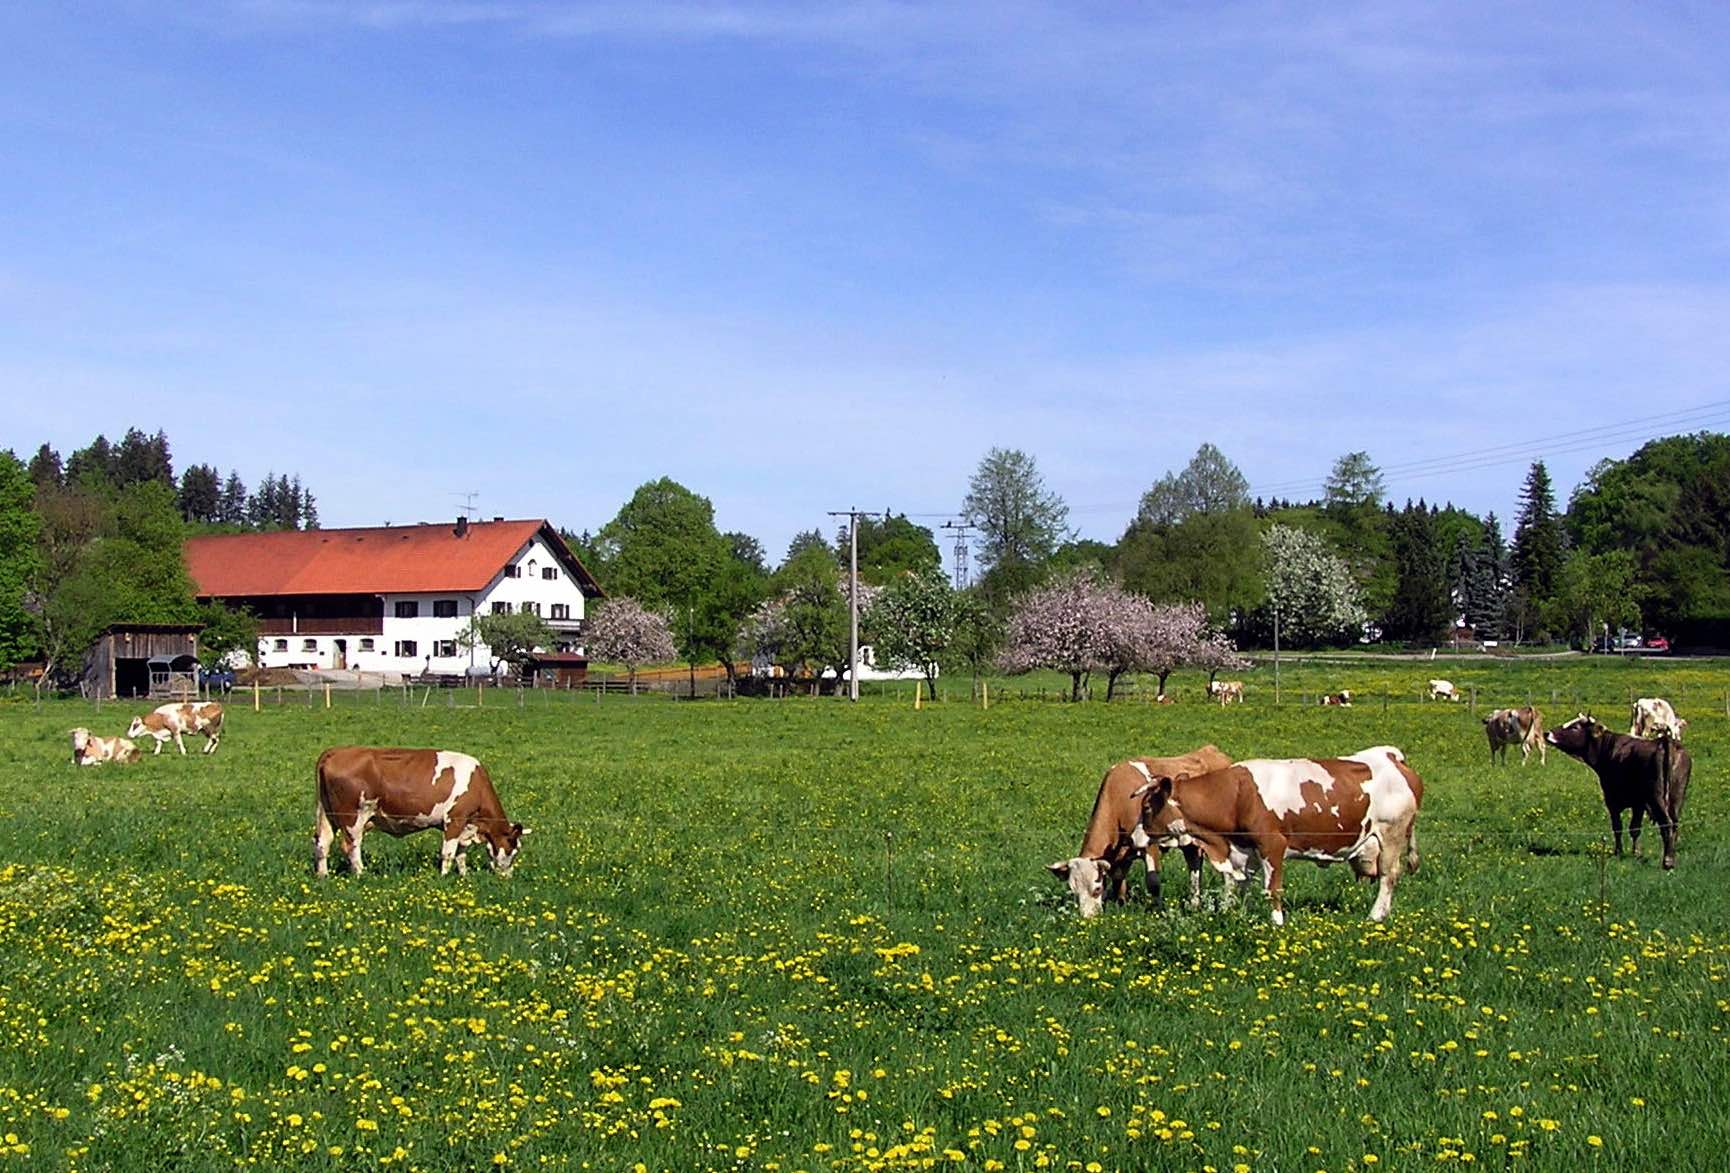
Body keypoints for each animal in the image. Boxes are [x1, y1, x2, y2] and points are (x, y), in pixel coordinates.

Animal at [314, 747, 530, 878]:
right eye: (514, 849)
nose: (507, 877)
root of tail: (336, 751)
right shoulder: (455, 819)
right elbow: (449, 853)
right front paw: (444, 877)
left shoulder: (465, 825)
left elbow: (461, 853)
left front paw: (463, 875)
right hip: (353, 816)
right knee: (351, 845)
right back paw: (361, 873)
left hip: (326, 814)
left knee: (322, 842)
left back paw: (323, 875)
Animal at [1046, 745, 1233, 916]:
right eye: (1074, 891)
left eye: (1097, 888)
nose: (1088, 919)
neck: (1119, 799)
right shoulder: (1121, 854)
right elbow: (1119, 881)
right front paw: (1121, 906)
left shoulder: (1149, 844)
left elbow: (1153, 882)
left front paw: (1158, 911)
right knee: (1194, 866)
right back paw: (1194, 905)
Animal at [1131, 746, 1423, 925]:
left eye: (1146, 808)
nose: (1133, 837)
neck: (1237, 795)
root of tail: (1390, 756)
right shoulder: (1243, 850)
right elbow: (1239, 886)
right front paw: (1235, 914)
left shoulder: (1272, 845)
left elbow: (1272, 889)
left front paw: (1276, 922)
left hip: (1391, 834)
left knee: (1388, 876)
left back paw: (1376, 916)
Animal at [1547, 715, 1691, 869]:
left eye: (1575, 727)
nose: (1547, 733)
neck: (1608, 748)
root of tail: (1665, 741)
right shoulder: (1638, 804)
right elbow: (1635, 828)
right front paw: (1636, 853)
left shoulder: (1612, 801)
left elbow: (1617, 827)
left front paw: (1618, 851)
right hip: (1676, 798)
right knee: (1674, 824)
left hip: (1656, 798)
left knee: (1667, 823)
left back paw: (1668, 860)